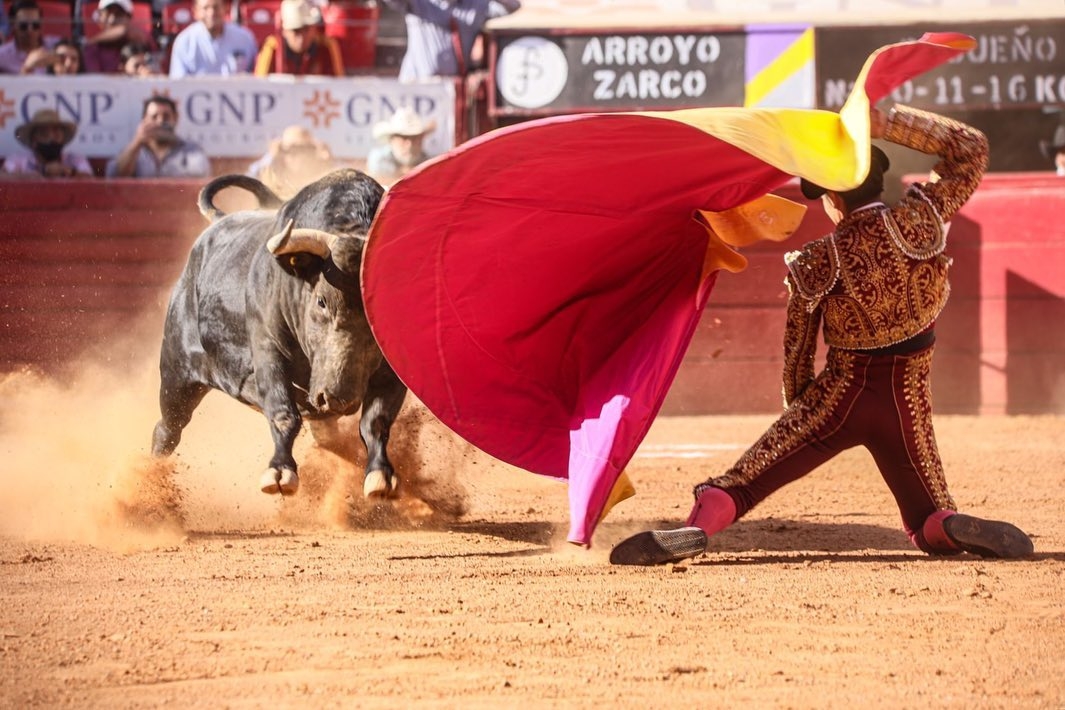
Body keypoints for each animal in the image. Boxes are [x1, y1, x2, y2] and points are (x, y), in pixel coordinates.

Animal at [154, 168, 406, 500]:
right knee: (167, 429)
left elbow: (375, 421)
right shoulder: (268, 352)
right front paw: (279, 471)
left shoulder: (392, 374)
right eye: (322, 301)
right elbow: (283, 413)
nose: (337, 398)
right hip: (177, 377)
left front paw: (380, 476)